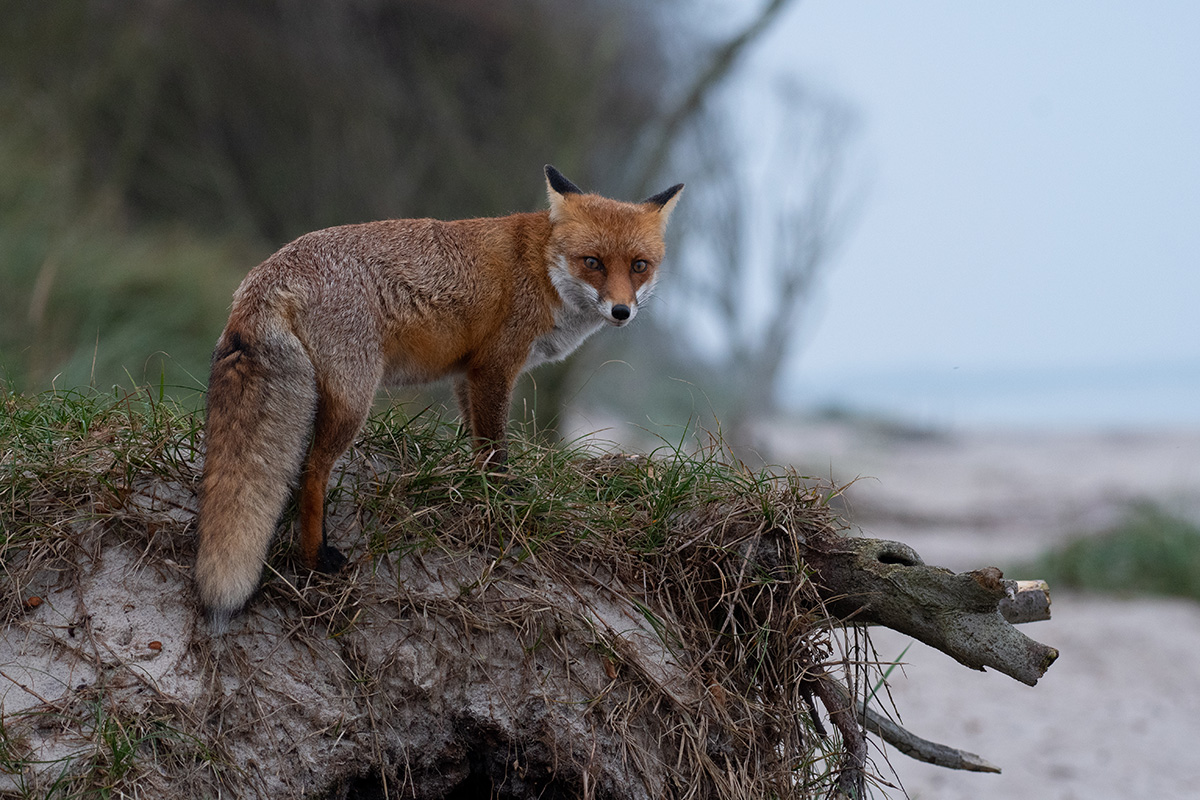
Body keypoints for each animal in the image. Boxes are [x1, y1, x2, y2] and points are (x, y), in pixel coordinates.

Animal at [196, 165, 686, 628]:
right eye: (593, 262)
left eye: (639, 265)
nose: (622, 311)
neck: (542, 268)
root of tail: (262, 275)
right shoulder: (496, 367)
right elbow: (495, 448)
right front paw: (504, 498)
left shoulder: (467, 375)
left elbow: (476, 444)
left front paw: (475, 487)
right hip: (355, 399)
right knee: (312, 471)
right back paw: (316, 558)